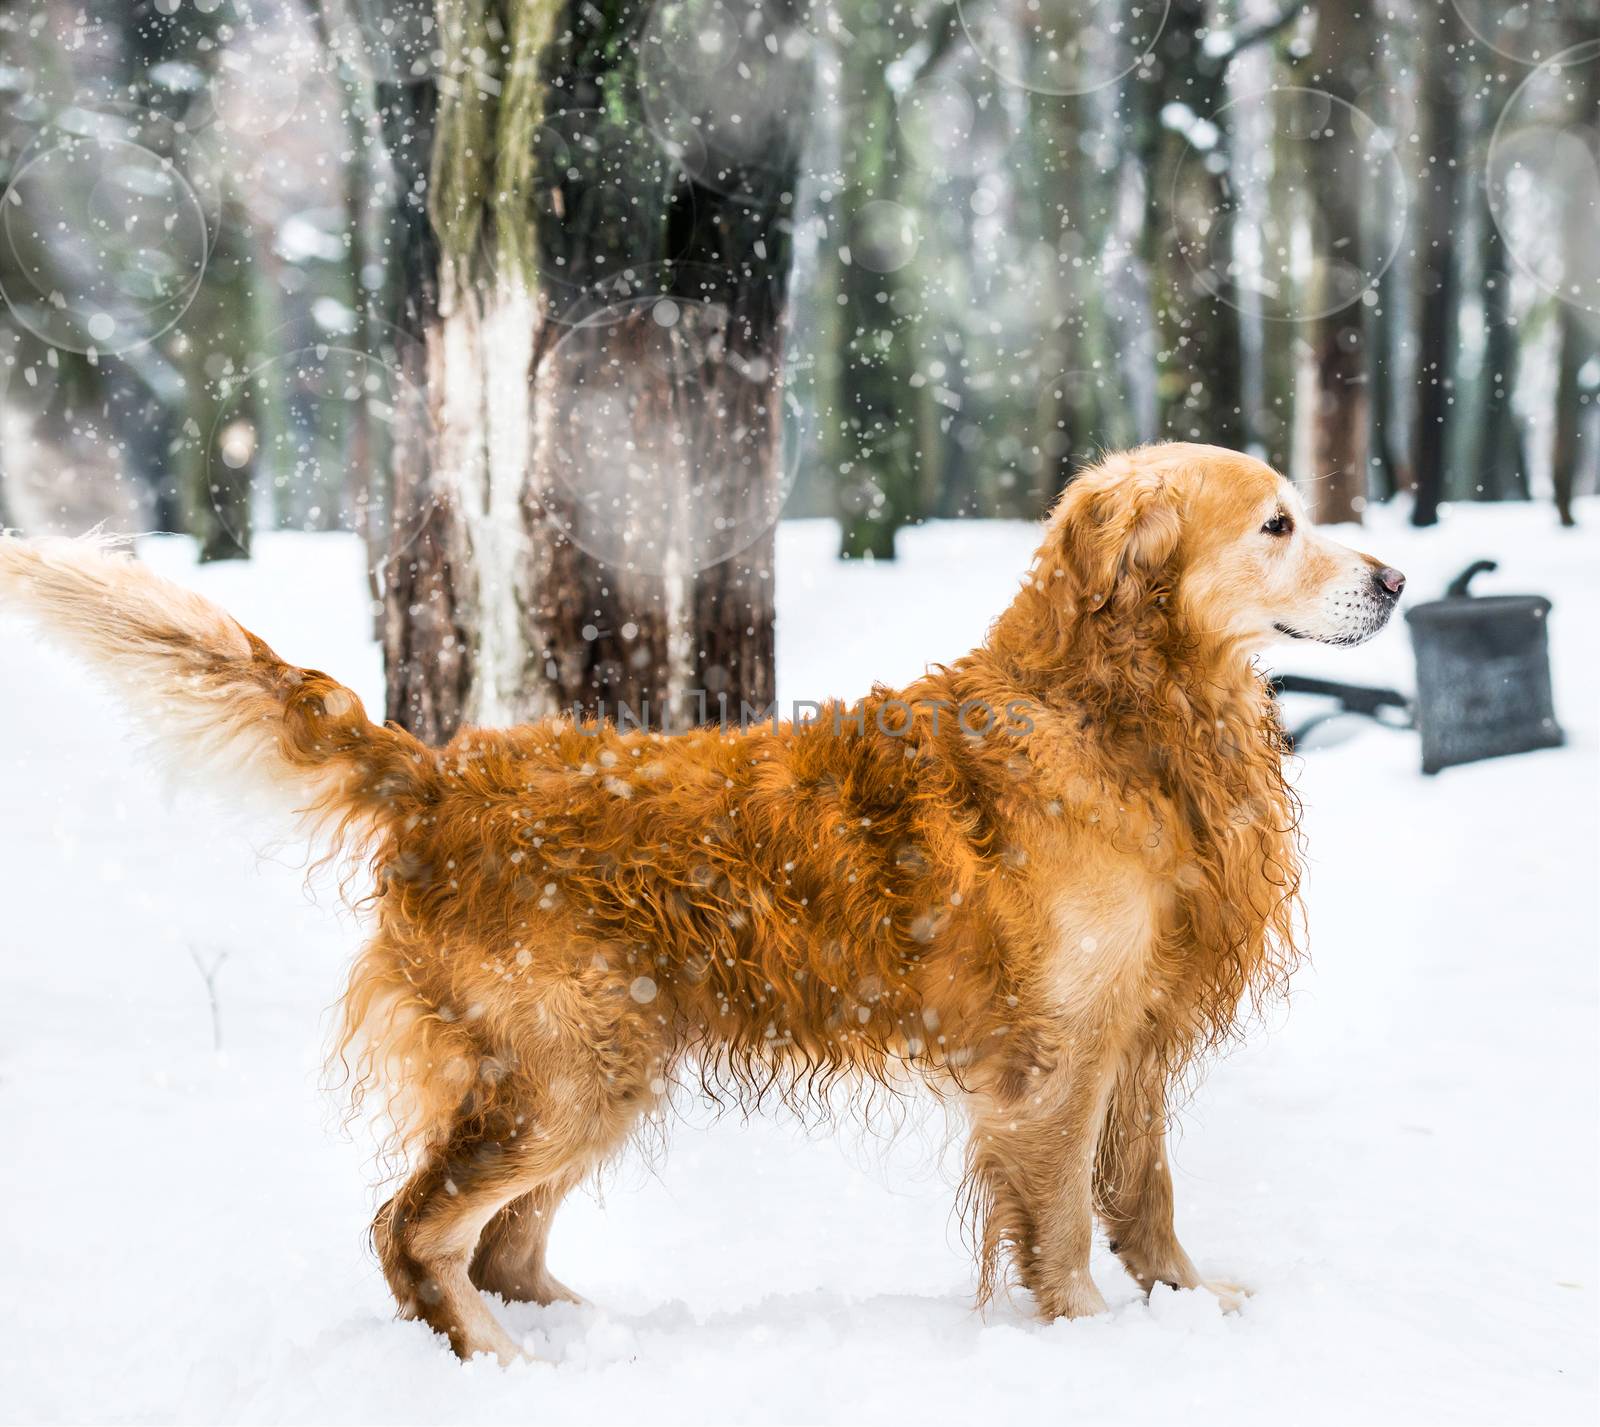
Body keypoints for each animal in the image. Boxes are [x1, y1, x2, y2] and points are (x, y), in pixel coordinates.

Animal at [0, 444, 1401, 1363]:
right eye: (1277, 524)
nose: (1391, 579)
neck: (1116, 712)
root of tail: (440, 772)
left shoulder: (1135, 1030)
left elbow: (1145, 1194)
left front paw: (1188, 1309)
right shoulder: (1050, 1053)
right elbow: (1056, 1222)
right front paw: (1089, 1347)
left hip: (597, 1063)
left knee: (503, 1248)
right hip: (567, 1068)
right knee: (417, 1231)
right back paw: (498, 1364)